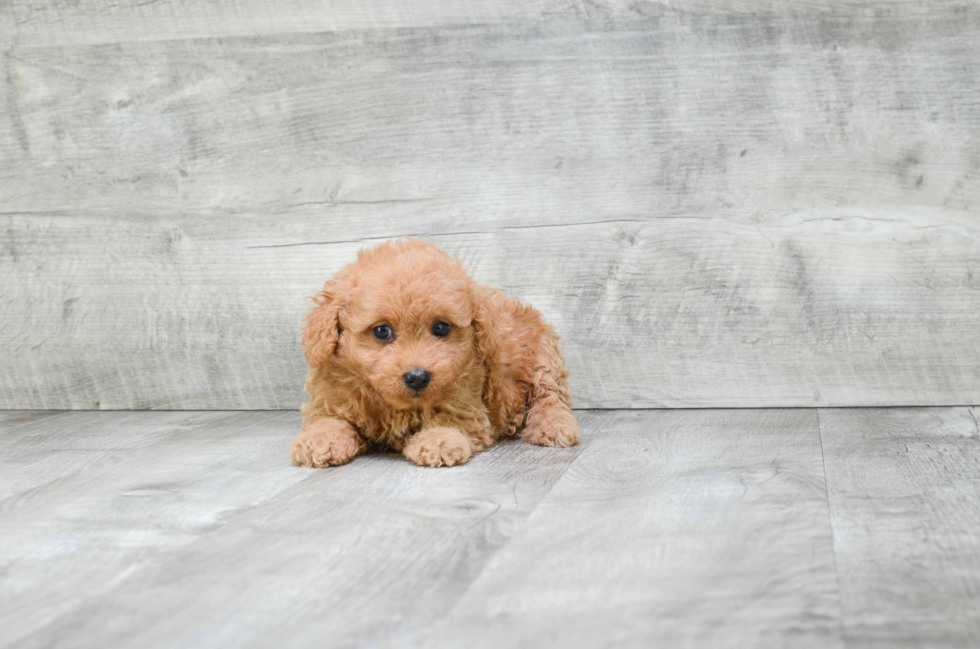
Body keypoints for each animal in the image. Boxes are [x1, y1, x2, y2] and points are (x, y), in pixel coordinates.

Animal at [290, 238, 580, 466]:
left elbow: (450, 419)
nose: (418, 377)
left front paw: (438, 442)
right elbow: (328, 420)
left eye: (441, 327)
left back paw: (553, 426)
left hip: (544, 357)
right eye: (382, 331)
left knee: (550, 397)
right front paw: (320, 441)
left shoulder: (466, 400)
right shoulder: (329, 397)